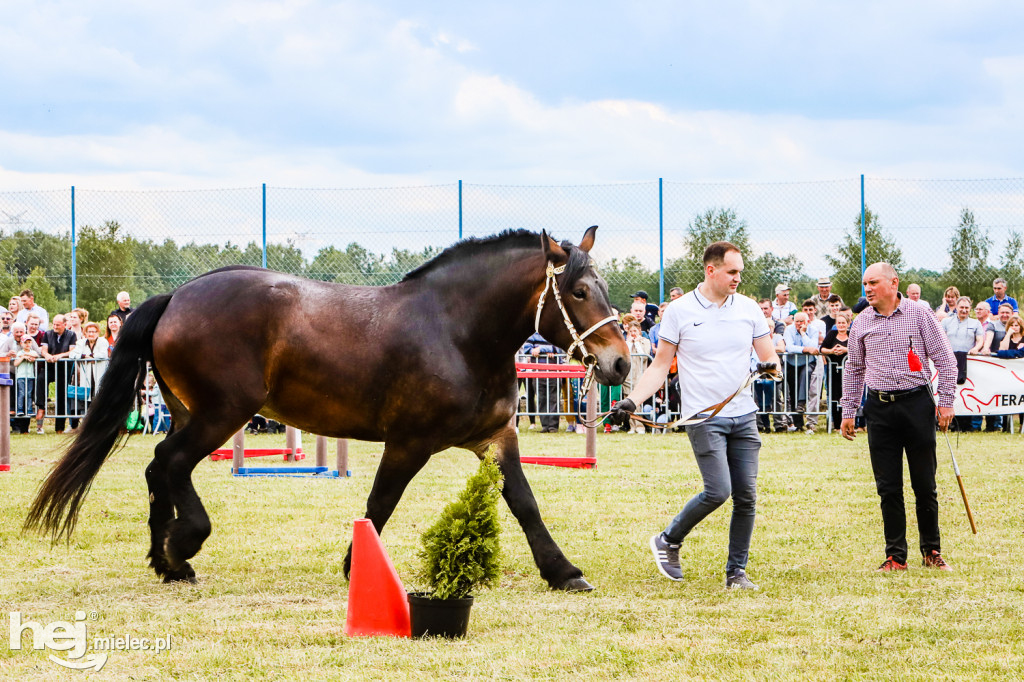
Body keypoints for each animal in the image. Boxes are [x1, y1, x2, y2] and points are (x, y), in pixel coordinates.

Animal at [24, 227, 626, 589]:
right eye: (577, 291)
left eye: (602, 287)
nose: (620, 363)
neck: (457, 331)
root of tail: (178, 297)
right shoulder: (409, 442)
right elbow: (380, 503)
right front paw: (356, 566)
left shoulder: (496, 438)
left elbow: (524, 503)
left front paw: (562, 570)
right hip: (223, 413)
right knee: (170, 464)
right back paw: (182, 545)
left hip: (192, 412)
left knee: (158, 467)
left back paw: (166, 562)